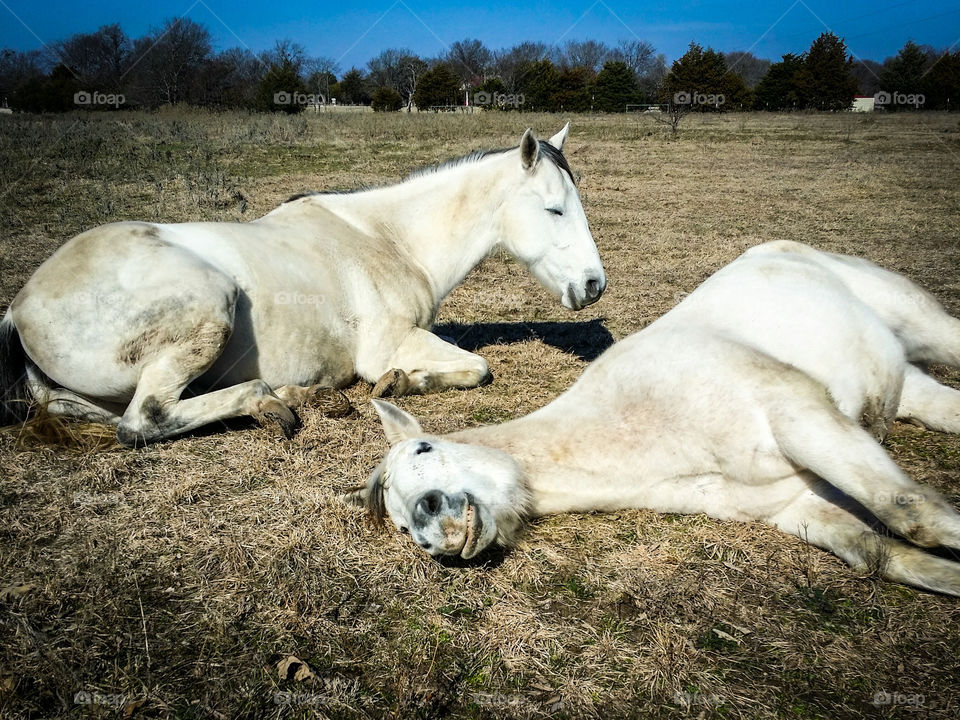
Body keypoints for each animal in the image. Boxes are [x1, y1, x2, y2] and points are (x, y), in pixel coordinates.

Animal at [0, 126, 608, 448]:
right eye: (554, 209)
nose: (594, 284)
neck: (388, 239)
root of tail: (20, 306)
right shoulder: (391, 342)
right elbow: (477, 367)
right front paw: (398, 382)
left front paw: (395, 383)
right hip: (209, 306)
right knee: (142, 420)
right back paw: (269, 404)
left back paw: (300, 395)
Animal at [350, 242, 960, 596]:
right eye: (402, 528)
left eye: (425, 449)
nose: (429, 523)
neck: (647, 428)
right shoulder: (800, 506)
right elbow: (885, 554)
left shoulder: (797, 415)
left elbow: (915, 515)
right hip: (898, 380)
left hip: (924, 328)